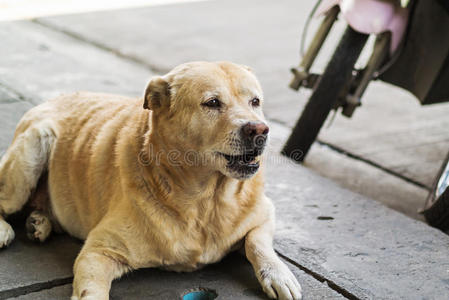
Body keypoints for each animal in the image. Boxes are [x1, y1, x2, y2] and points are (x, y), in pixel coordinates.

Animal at [0, 61, 300, 300]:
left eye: (255, 102)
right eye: (212, 103)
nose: (260, 130)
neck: (206, 201)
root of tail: (53, 99)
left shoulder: (265, 214)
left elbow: (256, 242)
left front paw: (278, 274)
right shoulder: (98, 251)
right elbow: (92, 290)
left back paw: (39, 222)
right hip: (32, 150)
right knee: (5, 201)